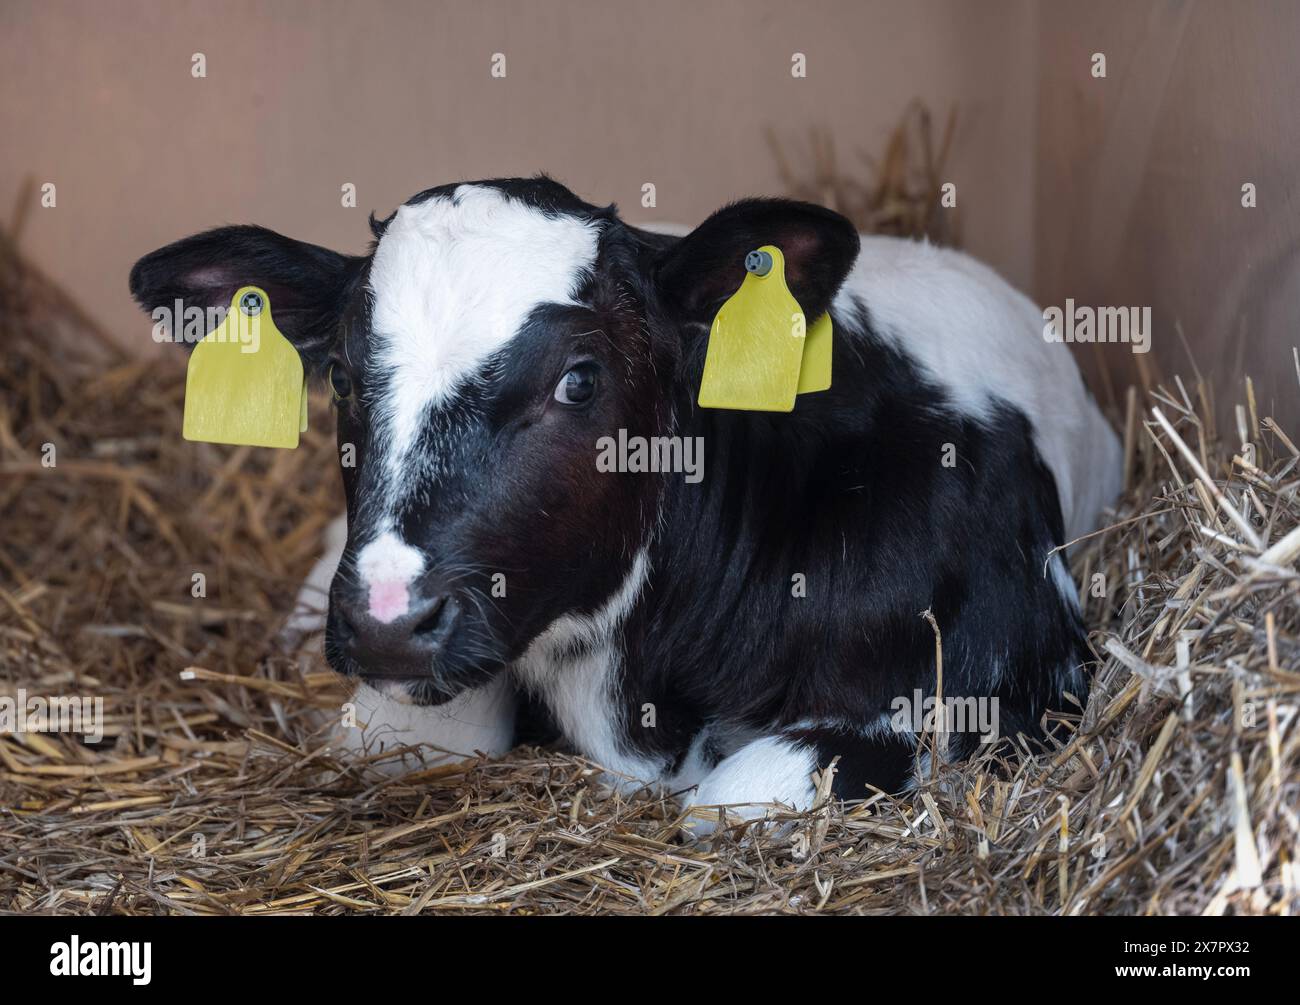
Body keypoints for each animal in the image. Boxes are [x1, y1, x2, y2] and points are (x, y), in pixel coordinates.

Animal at [130, 177, 1121, 824]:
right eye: (338, 373)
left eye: (579, 378)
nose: (386, 620)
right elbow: (397, 737)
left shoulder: (1018, 674)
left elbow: (728, 799)